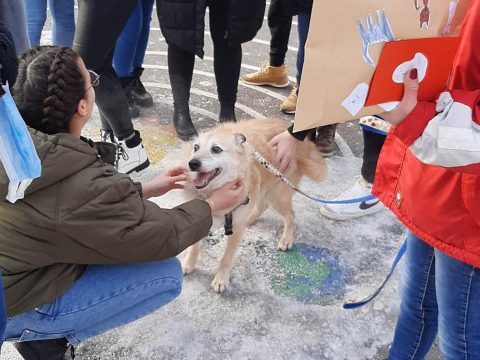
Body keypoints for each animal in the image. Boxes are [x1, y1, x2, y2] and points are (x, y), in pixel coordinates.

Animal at [180, 118, 326, 292]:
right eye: (196, 147)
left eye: (216, 149)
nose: (192, 163)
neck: (212, 192)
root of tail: (305, 144)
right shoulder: (201, 219)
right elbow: (194, 247)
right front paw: (188, 264)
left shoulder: (235, 230)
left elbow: (227, 257)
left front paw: (221, 279)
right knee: (261, 205)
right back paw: (250, 218)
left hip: (277, 194)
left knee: (290, 214)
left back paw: (286, 239)